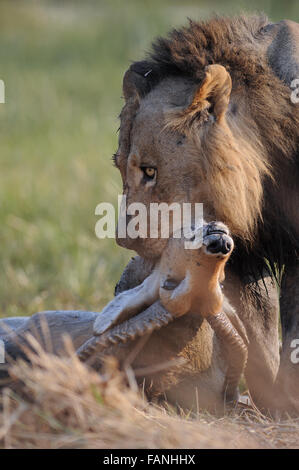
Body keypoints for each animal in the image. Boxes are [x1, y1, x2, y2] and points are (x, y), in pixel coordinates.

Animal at [113, 14, 299, 414]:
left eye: (150, 171)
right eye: (120, 168)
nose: (123, 239)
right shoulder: (243, 256)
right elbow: (258, 337)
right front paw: (270, 405)